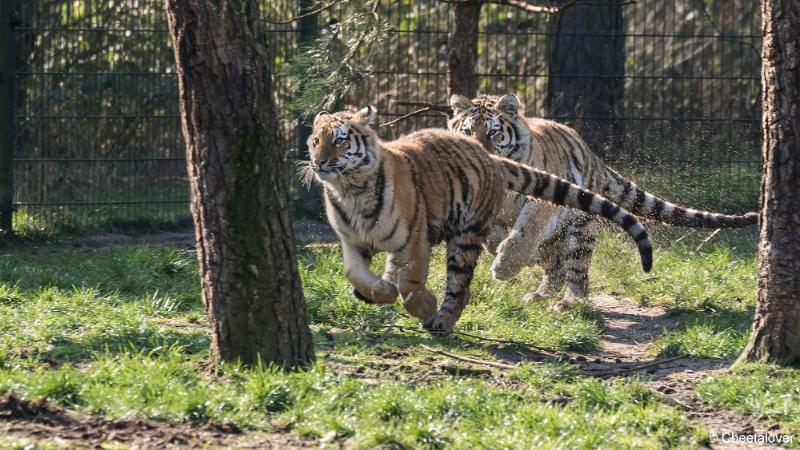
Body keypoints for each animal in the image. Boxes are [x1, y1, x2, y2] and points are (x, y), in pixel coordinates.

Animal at [304, 104, 652, 330]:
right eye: (315, 141)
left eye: (340, 140)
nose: (318, 162)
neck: (353, 191)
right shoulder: (352, 242)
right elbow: (356, 274)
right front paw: (375, 291)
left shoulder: (416, 237)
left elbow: (414, 282)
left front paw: (426, 305)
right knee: (551, 263)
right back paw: (539, 292)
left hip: (569, 228)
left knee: (572, 268)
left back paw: (566, 301)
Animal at [450, 93, 756, 312]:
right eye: (467, 131)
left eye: (493, 132)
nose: (479, 151)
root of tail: (590, 153)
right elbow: (494, 234)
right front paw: (497, 247)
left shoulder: (541, 201)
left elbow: (527, 231)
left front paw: (504, 266)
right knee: (553, 264)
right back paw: (539, 294)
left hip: (581, 225)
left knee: (576, 271)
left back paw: (567, 302)